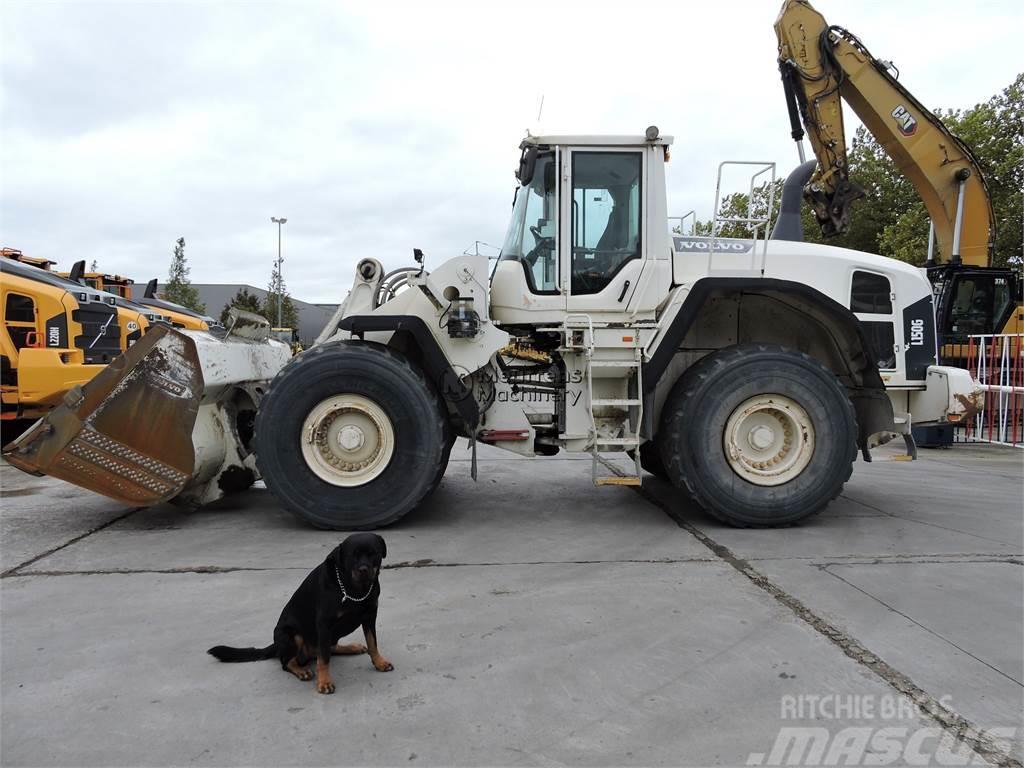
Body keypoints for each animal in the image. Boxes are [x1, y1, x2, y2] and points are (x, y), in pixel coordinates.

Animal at [207, 532, 391, 696]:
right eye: (353, 556)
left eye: (373, 553)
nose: (363, 569)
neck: (354, 589)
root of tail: (276, 645)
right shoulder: (324, 623)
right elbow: (324, 659)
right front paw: (324, 682)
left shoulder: (370, 616)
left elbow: (372, 643)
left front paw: (379, 662)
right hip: (291, 635)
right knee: (289, 661)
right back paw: (301, 670)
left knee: (328, 648)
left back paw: (351, 647)